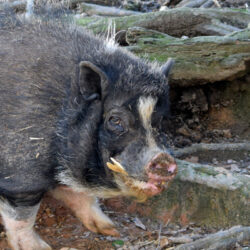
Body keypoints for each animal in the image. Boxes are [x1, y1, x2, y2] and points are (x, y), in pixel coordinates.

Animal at [0, 9, 177, 250]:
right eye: (115, 120)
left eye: (160, 120)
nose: (163, 158)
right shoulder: (20, 171)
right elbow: (22, 215)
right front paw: (41, 247)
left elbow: (79, 194)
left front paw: (111, 229)